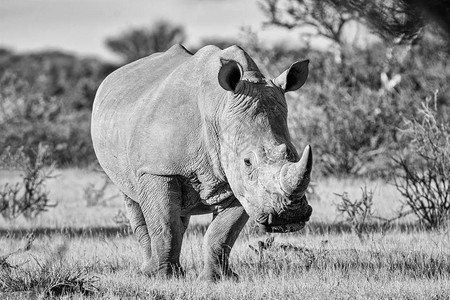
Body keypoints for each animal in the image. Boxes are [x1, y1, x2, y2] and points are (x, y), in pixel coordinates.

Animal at [89, 44, 312, 282]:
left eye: (293, 153)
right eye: (247, 162)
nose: (290, 216)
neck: (220, 107)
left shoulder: (242, 186)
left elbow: (222, 233)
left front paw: (218, 278)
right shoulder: (158, 170)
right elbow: (165, 226)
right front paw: (165, 278)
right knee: (134, 201)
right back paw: (148, 271)